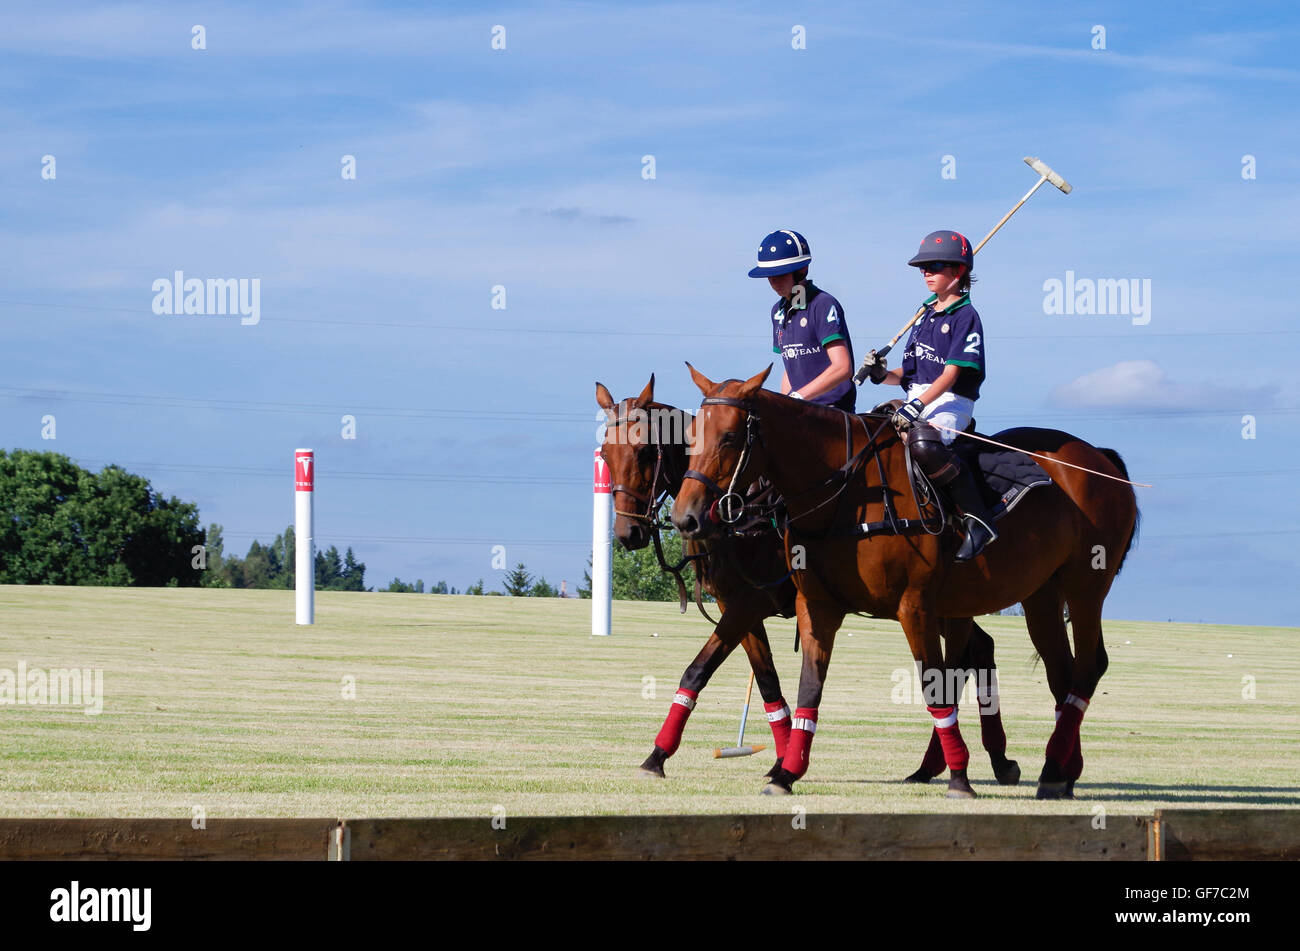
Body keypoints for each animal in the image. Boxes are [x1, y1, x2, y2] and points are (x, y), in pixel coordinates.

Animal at [598, 376, 1024, 789]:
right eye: (605, 453)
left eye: (643, 453)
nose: (628, 533)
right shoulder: (739, 606)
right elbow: (768, 684)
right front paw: (782, 760)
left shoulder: (748, 603)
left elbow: (699, 669)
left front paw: (658, 756)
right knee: (979, 650)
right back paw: (978, 762)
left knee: (965, 658)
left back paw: (970, 761)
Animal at [670, 368, 1138, 800]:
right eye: (690, 437)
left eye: (730, 437)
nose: (686, 517)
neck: (847, 494)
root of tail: (1099, 456)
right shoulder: (815, 605)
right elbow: (807, 685)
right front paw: (785, 773)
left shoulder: (912, 606)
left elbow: (934, 687)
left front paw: (960, 779)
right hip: (1040, 593)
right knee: (1061, 672)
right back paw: (1058, 773)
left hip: (1084, 584)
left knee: (1088, 665)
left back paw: (1042, 769)